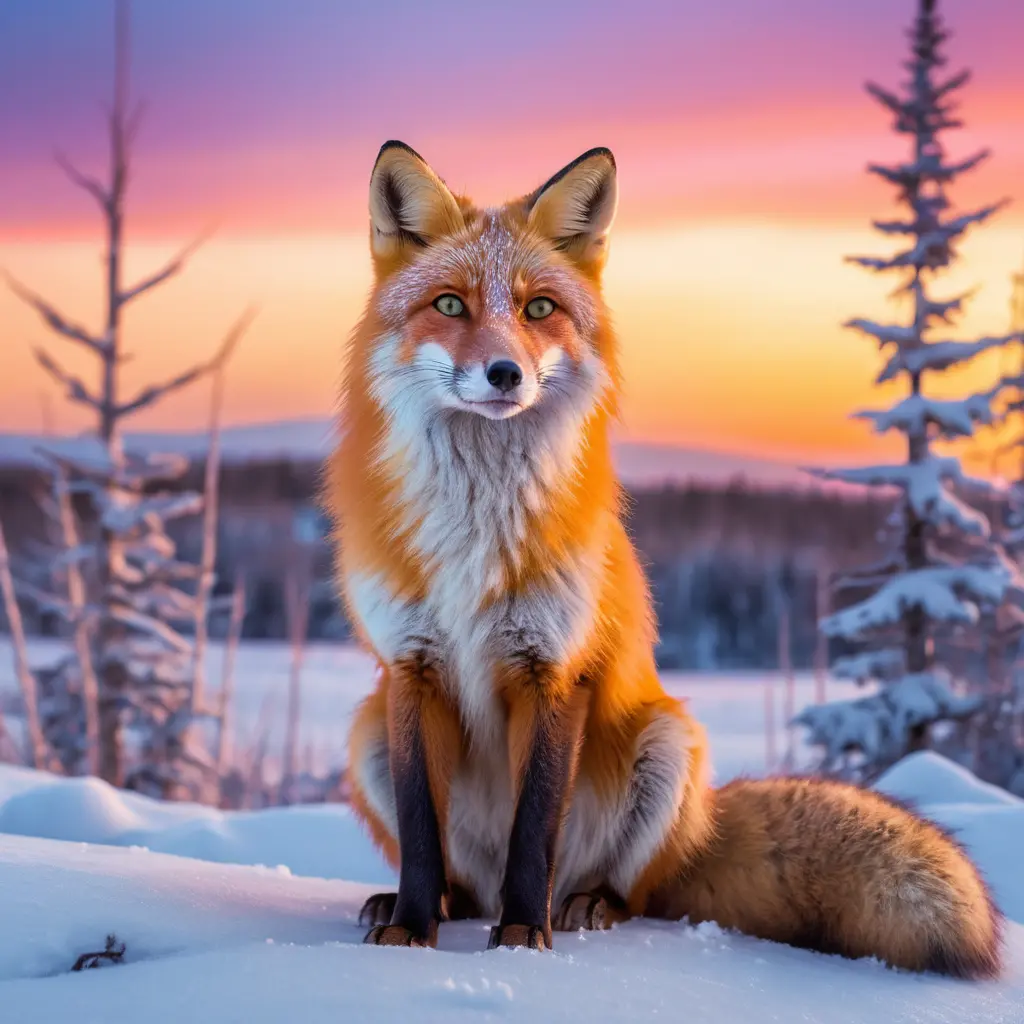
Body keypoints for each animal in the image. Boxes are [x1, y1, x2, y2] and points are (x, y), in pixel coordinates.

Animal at [324, 140, 1003, 977]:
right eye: (450, 306)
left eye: (538, 309)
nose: (505, 374)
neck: (475, 530)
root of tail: (702, 827)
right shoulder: (409, 668)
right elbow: (422, 833)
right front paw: (411, 932)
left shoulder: (554, 669)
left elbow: (532, 830)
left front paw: (522, 939)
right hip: (369, 731)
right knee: (463, 878)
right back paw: (431, 903)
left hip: (669, 743)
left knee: (628, 889)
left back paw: (583, 906)